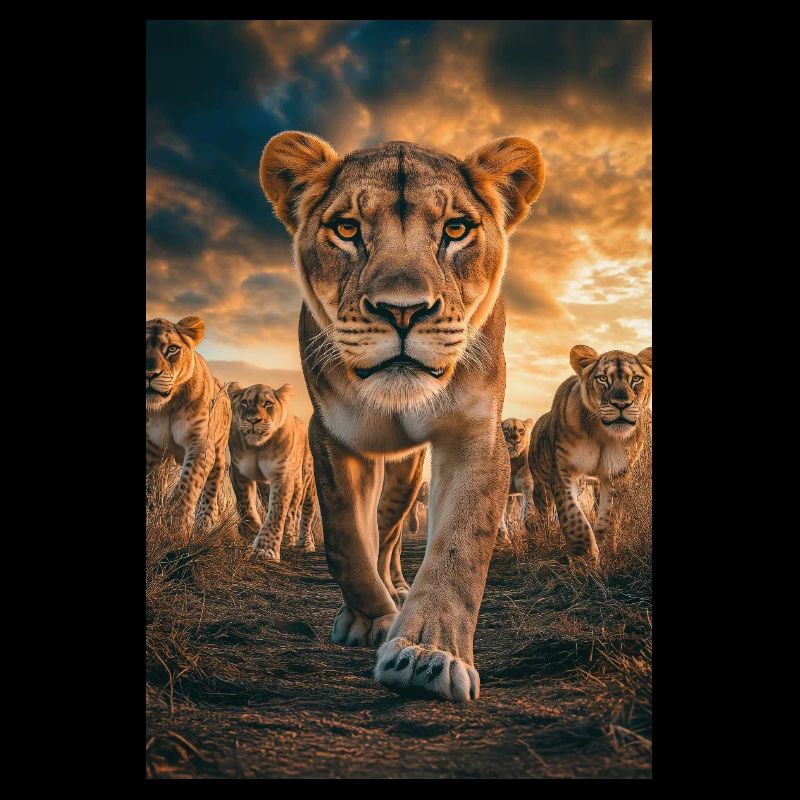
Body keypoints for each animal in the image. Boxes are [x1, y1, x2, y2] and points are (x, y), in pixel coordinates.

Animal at [146, 316, 232, 540]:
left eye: (172, 349)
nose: (149, 374)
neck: (165, 407)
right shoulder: (151, 448)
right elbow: (151, 487)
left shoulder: (200, 442)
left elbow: (188, 483)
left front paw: (178, 527)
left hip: (219, 454)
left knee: (210, 491)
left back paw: (205, 525)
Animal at [227, 382, 319, 561]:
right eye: (244, 403)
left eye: (268, 404)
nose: (253, 420)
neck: (258, 448)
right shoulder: (239, 470)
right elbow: (244, 503)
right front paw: (252, 530)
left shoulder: (282, 475)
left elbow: (277, 511)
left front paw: (266, 550)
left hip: (307, 483)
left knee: (305, 513)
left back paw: (304, 543)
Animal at [259, 130, 544, 701]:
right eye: (347, 228)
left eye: (455, 229)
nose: (402, 310)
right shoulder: (333, 433)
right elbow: (346, 538)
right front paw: (371, 619)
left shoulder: (475, 435)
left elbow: (458, 547)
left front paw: (425, 654)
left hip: (408, 472)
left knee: (391, 534)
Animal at [528, 345, 652, 561]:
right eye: (602, 378)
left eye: (636, 379)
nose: (621, 404)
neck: (603, 434)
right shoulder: (563, 471)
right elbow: (573, 517)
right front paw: (584, 557)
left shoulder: (617, 475)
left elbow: (609, 516)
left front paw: (605, 549)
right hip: (540, 485)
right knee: (545, 509)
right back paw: (546, 534)